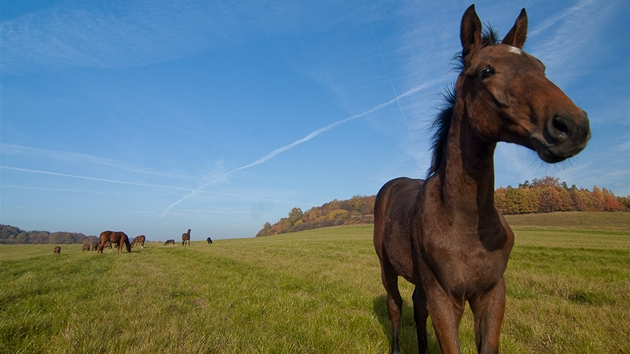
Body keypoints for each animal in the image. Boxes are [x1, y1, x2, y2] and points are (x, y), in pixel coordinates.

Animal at [372, 5, 592, 354]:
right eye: (486, 71)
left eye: (541, 67)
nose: (572, 126)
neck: (463, 219)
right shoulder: (445, 298)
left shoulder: (491, 295)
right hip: (387, 267)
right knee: (396, 306)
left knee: (417, 305)